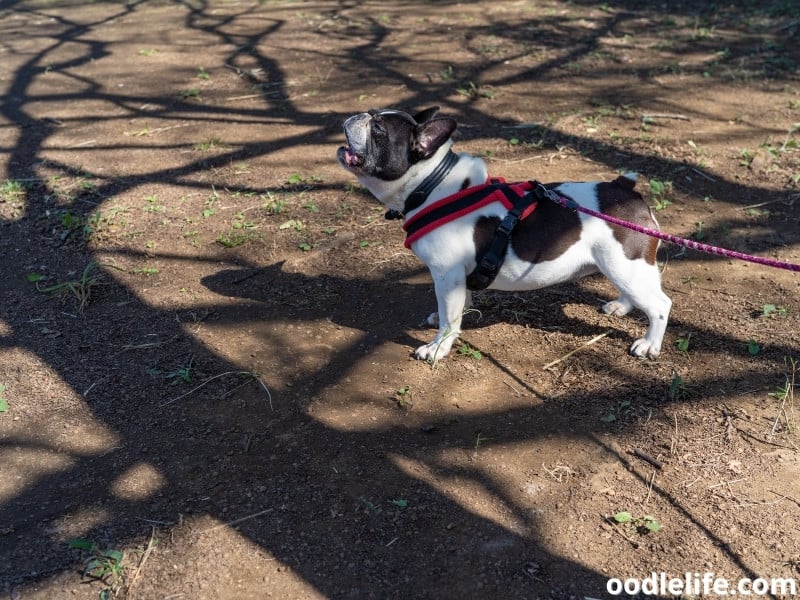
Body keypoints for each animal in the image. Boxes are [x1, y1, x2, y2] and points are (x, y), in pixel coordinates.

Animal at [334, 106, 672, 360]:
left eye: (379, 130)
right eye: (372, 115)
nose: (357, 115)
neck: (430, 184)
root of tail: (625, 189)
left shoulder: (446, 274)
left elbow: (449, 318)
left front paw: (438, 347)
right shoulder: (456, 277)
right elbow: (459, 305)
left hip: (625, 264)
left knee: (659, 306)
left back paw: (649, 344)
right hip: (622, 266)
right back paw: (621, 306)